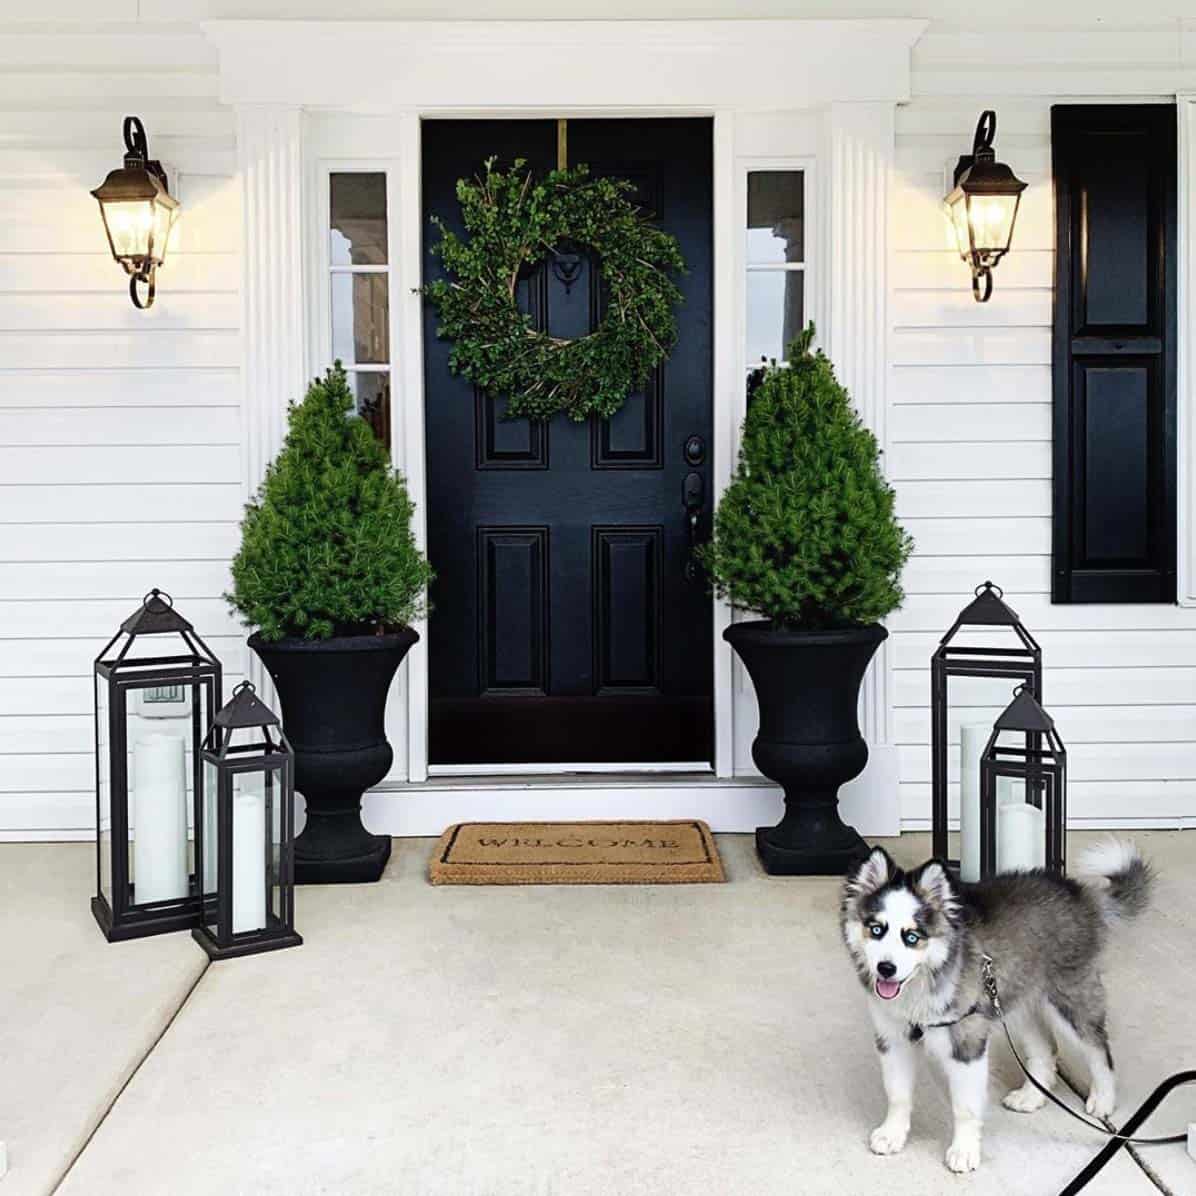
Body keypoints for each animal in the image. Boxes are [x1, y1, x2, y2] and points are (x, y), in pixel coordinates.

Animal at [837, 846, 1152, 1172]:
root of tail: (1079, 892)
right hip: (1019, 1004)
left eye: (912, 937)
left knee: (1098, 1049)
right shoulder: (893, 1039)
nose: (885, 969)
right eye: (876, 929)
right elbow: (897, 1094)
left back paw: (1103, 1100)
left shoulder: (967, 1043)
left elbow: (964, 1107)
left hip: (1070, 999)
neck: (924, 981)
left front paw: (964, 1150)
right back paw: (1031, 1097)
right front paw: (892, 1134)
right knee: (1045, 1049)